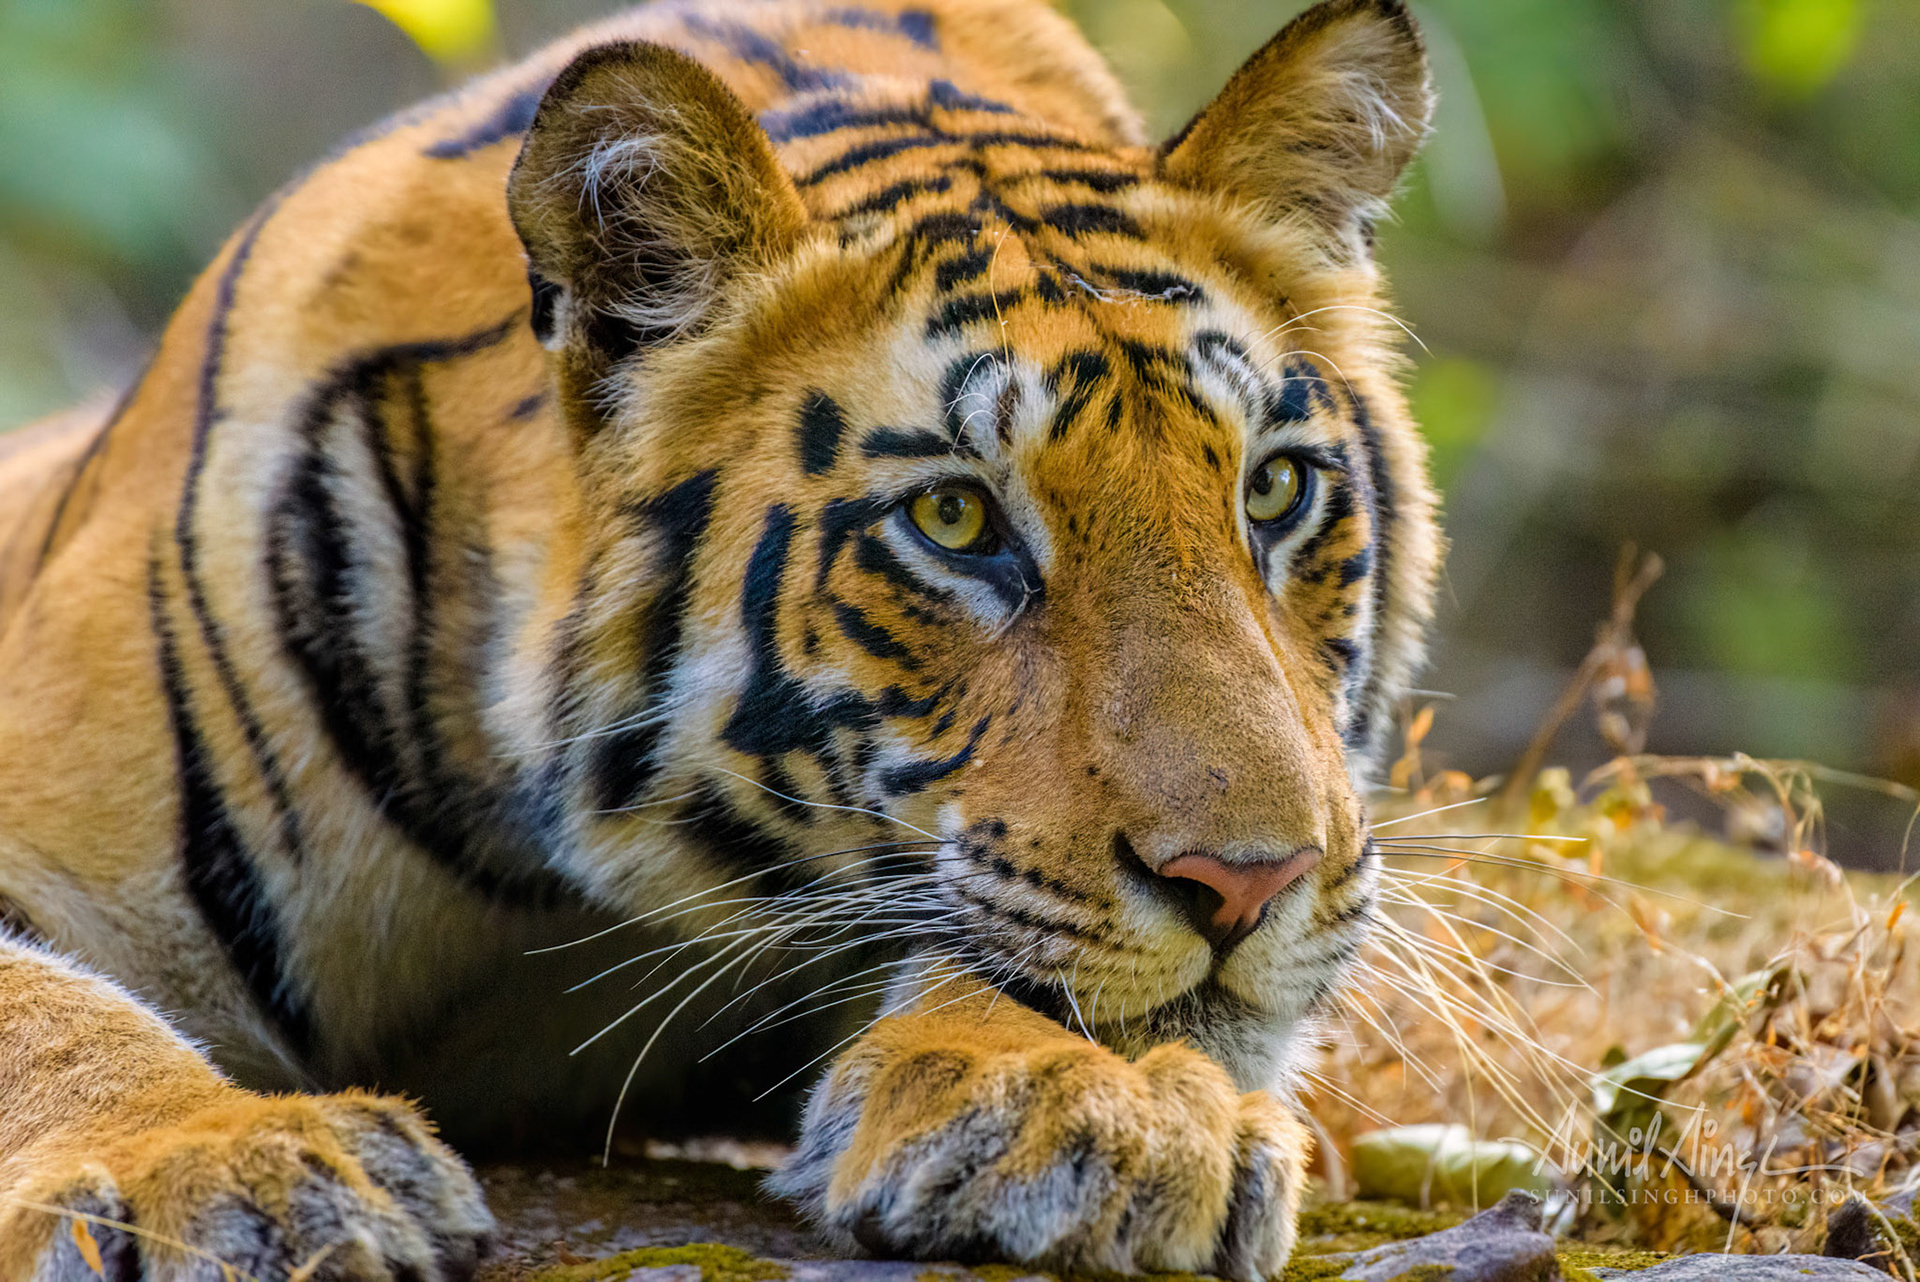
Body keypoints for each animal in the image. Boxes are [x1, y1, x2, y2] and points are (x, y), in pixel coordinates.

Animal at [0, 0, 1439, 1276]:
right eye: (957, 518)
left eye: (1274, 489)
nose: (1246, 883)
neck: (551, 880)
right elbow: (52, 1012)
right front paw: (222, 1167)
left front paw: (1090, 1108)